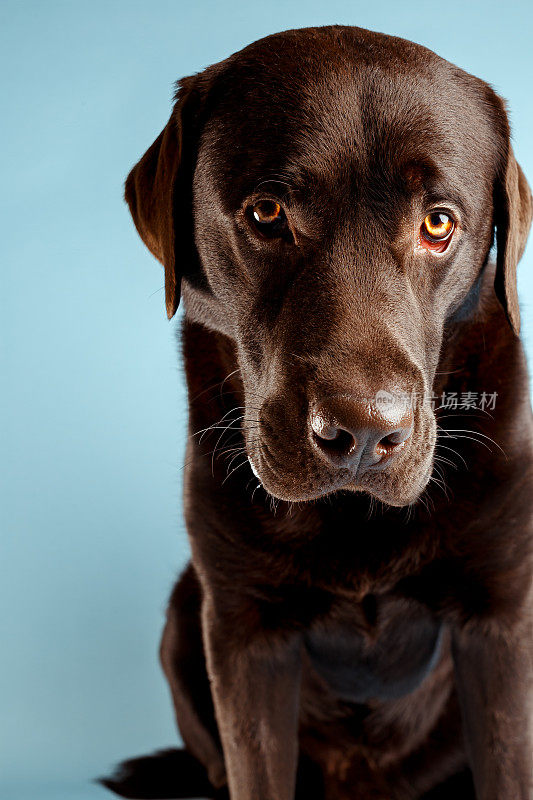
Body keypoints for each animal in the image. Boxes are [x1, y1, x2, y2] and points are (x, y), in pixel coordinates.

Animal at [102, 25, 528, 800]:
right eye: (267, 213)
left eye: (438, 223)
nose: (363, 433)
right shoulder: (244, 634)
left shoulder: (500, 619)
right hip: (185, 609)